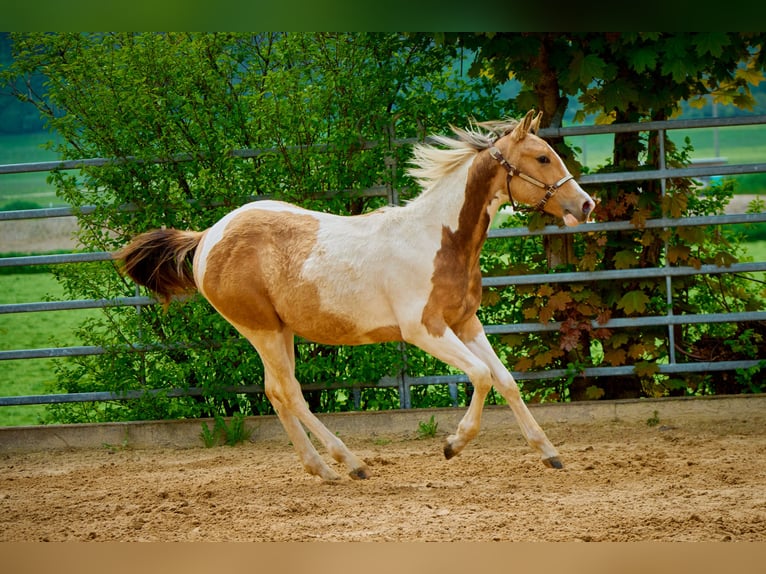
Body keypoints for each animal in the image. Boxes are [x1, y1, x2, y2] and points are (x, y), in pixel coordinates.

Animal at [116, 110, 595, 481]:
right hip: (261, 329)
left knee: (275, 392)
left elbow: (506, 380)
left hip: (280, 331)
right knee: (290, 392)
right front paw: (453, 444)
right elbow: (480, 376)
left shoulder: (464, 322)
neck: (438, 238)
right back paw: (351, 463)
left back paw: (321, 469)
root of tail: (206, 238)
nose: (586, 204)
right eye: (542, 157)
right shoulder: (425, 330)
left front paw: (549, 453)